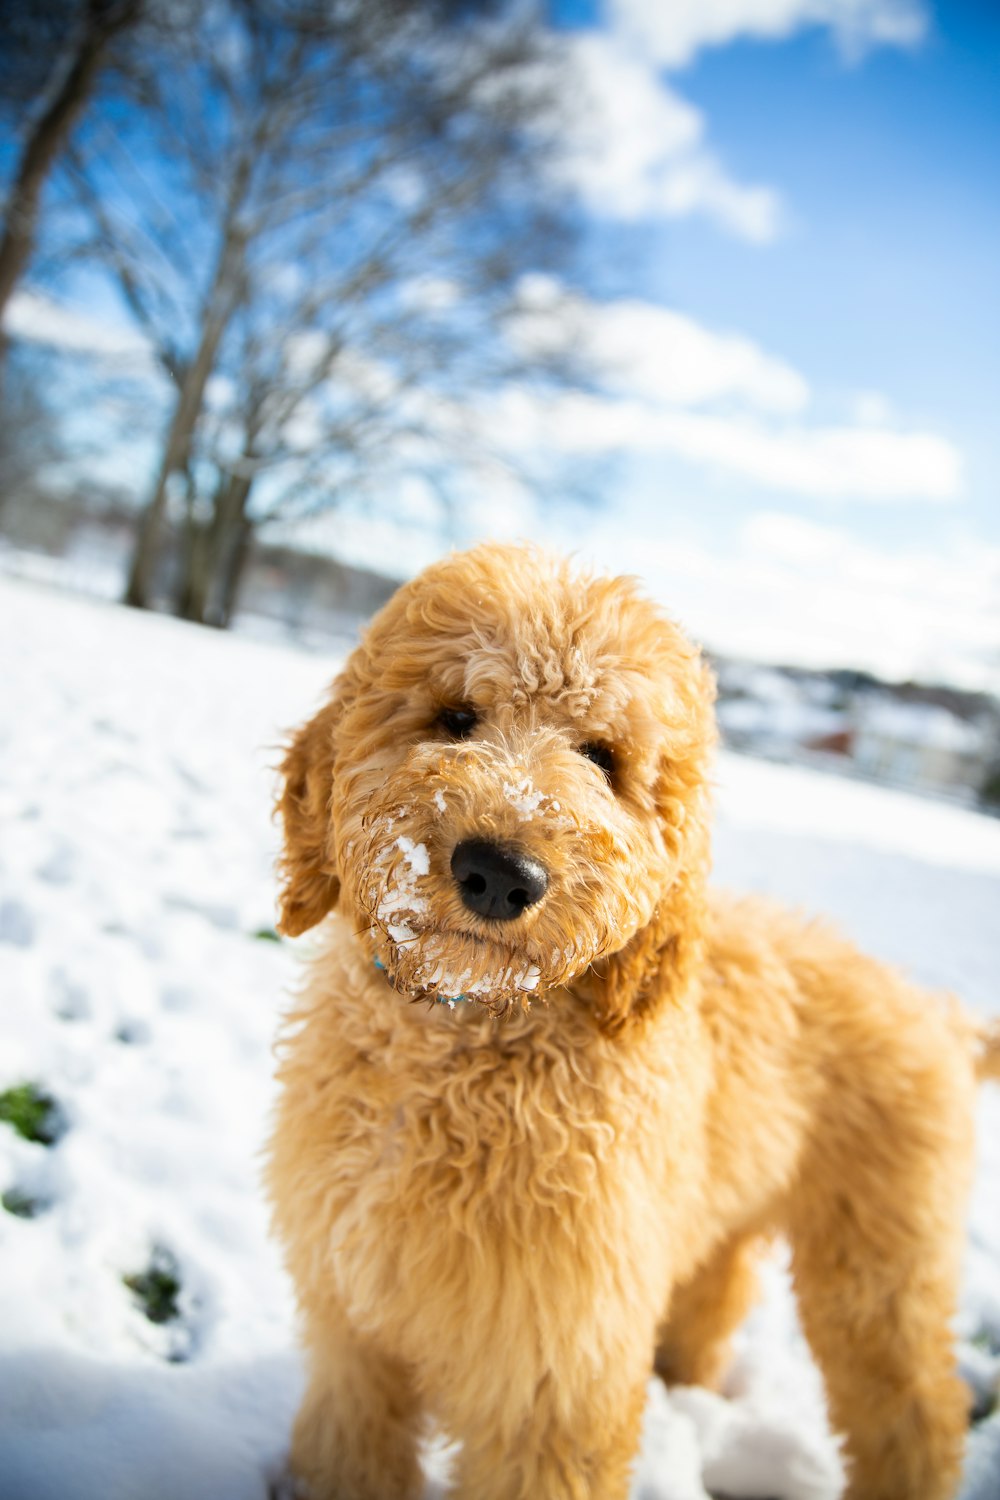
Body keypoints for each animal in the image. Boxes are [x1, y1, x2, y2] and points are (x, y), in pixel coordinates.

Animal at [265, 543, 1000, 1500]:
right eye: (455, 715)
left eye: (603, 757)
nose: (500, 873)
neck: (461, 1045)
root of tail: (936, 1012)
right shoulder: (355, 1328)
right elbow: (351, 1447)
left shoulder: (556, 1369)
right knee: (718, 1298)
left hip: (882, 1264)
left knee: (918, 1408)